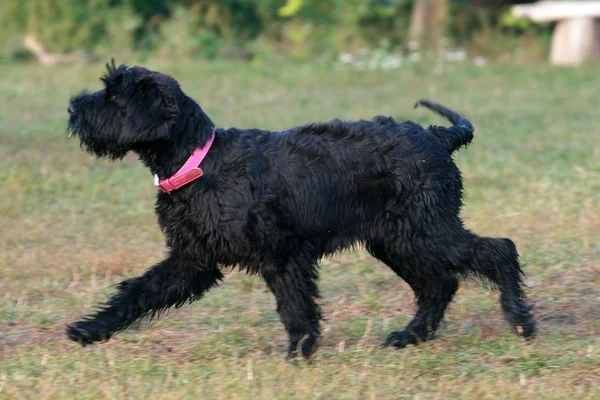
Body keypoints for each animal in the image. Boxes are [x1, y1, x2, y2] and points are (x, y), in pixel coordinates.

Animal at [65, 61, 536, 360]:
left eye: (113, 96)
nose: (71, 106)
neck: (200, 161)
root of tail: (438, 136)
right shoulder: (191, 260)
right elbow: (138, 292)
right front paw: (91, 329)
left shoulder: (284, 254)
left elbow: (295, 305)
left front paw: (300, 351)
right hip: (397, 241)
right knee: (440, 283)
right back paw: (411, 336)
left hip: (425, 231)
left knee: (498, 249)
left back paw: (520, 321)